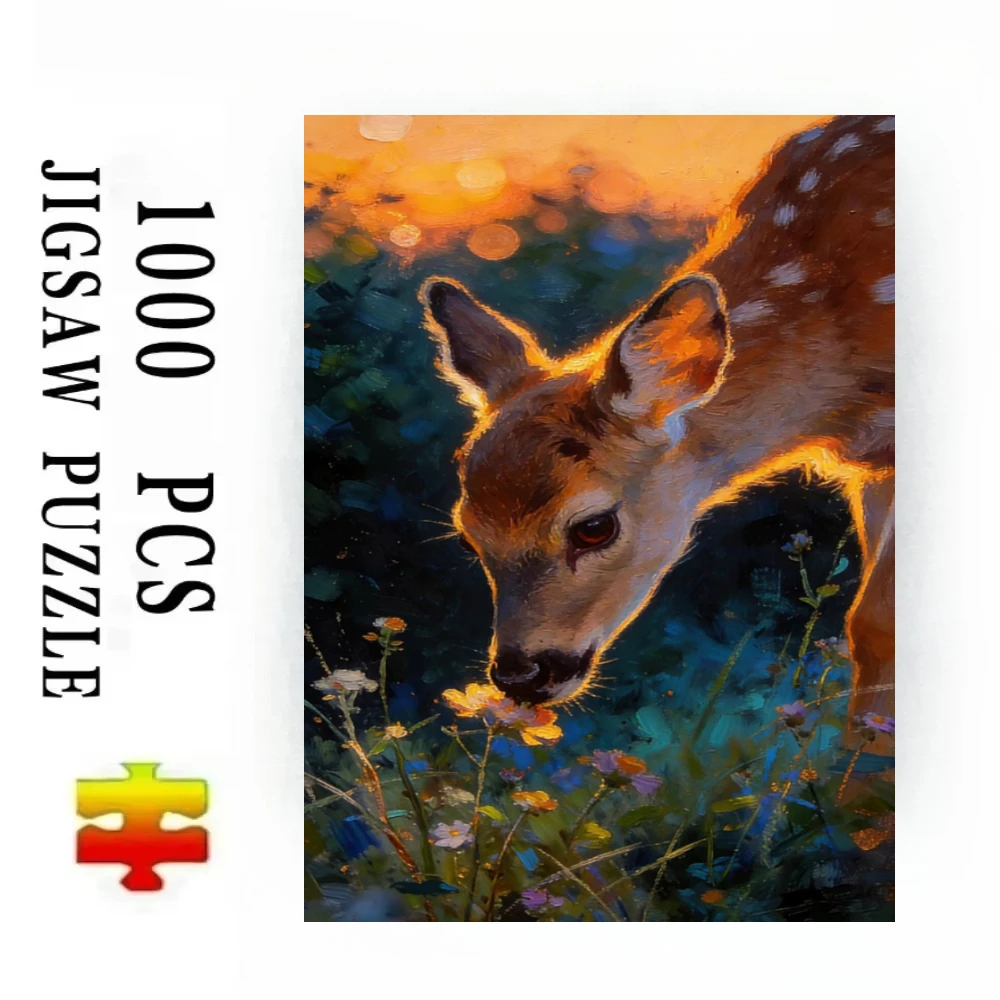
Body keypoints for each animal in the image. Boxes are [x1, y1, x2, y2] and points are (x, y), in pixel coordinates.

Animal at [420, 115, 894, 737]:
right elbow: (868, 627)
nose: (521, 676)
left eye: (594, 527)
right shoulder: (875, 466)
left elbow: (877, 622)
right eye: (468, 536)